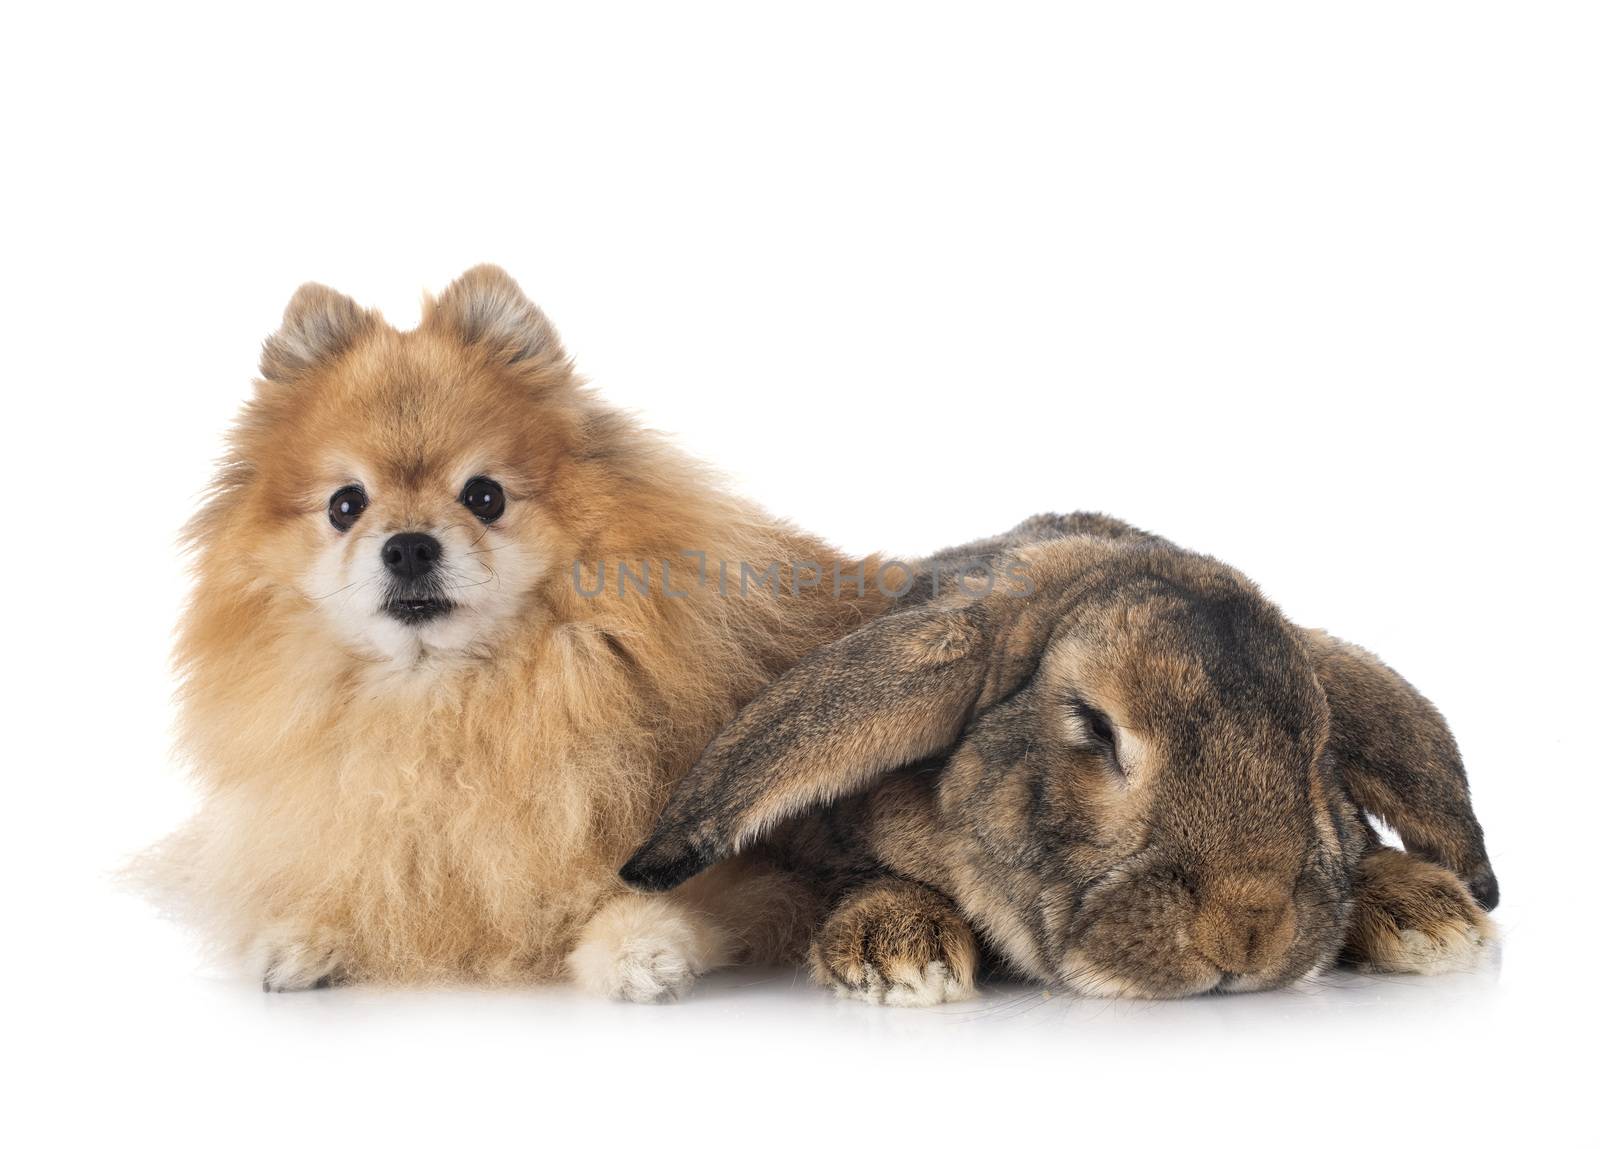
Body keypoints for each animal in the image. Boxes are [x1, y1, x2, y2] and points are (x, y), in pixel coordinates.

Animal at [144, 267, 896, 998]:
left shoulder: (754, 869)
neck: (452, 696)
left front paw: (640, 943)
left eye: (485, 495)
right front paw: (306, 932)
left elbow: (694, 898)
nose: (409, 547)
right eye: (345, 505)